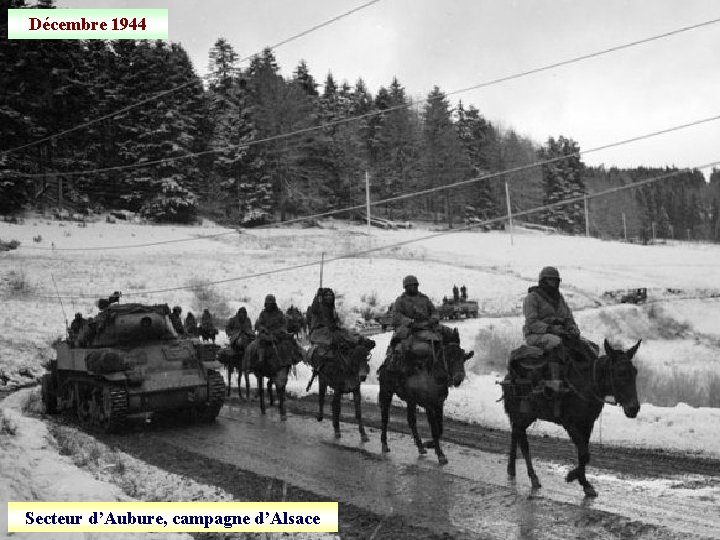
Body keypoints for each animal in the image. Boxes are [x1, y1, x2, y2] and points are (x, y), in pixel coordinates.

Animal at [380, 326, 476, 466]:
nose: (459, 378)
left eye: (463, 358)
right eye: (449, 356)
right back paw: (384, 444)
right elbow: (435, 429)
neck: (436, 378)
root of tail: (387, 362)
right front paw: (441, 455)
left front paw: (430, 444)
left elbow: (440, 428)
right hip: (386, 391)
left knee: (411, 421)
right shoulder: (429, 405)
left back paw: (420, 446)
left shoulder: (439, 403)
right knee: (385, 418)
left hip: (410, 400)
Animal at [500, 340, 640, 496]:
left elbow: (584, 454)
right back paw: (533, 478)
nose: (634, 408)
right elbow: (584, 453)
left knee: (515, 434)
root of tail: (507, 377)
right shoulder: (570, 424)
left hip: (522, 416)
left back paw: (511, 469)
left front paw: (584, 482)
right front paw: (573, 476)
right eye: (620, 372)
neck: (588, 386)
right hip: (523, 415)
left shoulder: (587, 424)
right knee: (523, 443)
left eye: (635, 372)